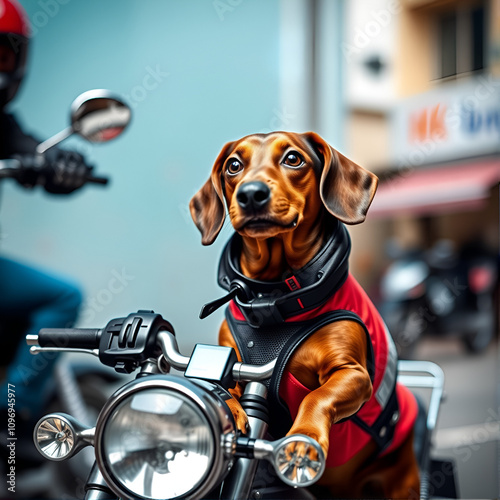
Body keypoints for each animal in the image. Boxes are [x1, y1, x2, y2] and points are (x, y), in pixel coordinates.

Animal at [189, 131, 420, 498]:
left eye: (293, 159)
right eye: (233, 165)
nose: (251, 194)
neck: (274, 299)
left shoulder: (353, 373)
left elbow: (317, 396)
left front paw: (304, 440)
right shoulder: (232, 361)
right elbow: (222, 385)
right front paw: (228, 407)